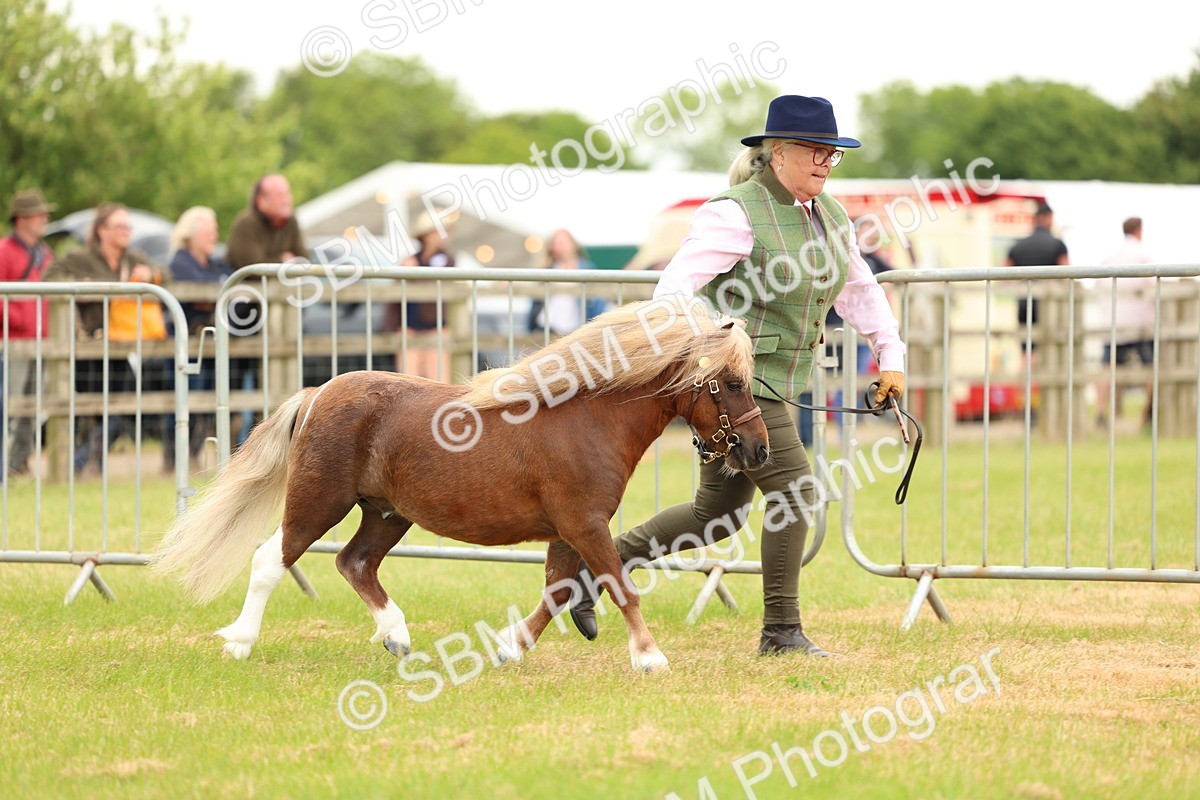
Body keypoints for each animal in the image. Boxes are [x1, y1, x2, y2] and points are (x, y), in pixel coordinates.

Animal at [151, 295, 770, 673]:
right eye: (733, 383)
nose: (759, 449)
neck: (585, 418)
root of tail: (316, 393)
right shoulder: (584, 522)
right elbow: (620, 585)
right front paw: (649, 658)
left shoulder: (568, 529)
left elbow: (558, 590)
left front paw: (510, 648)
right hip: (319, 500)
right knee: (270, 560)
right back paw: (239, 642)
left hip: (386, 513)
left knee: (355, 563)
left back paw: (397, 636)